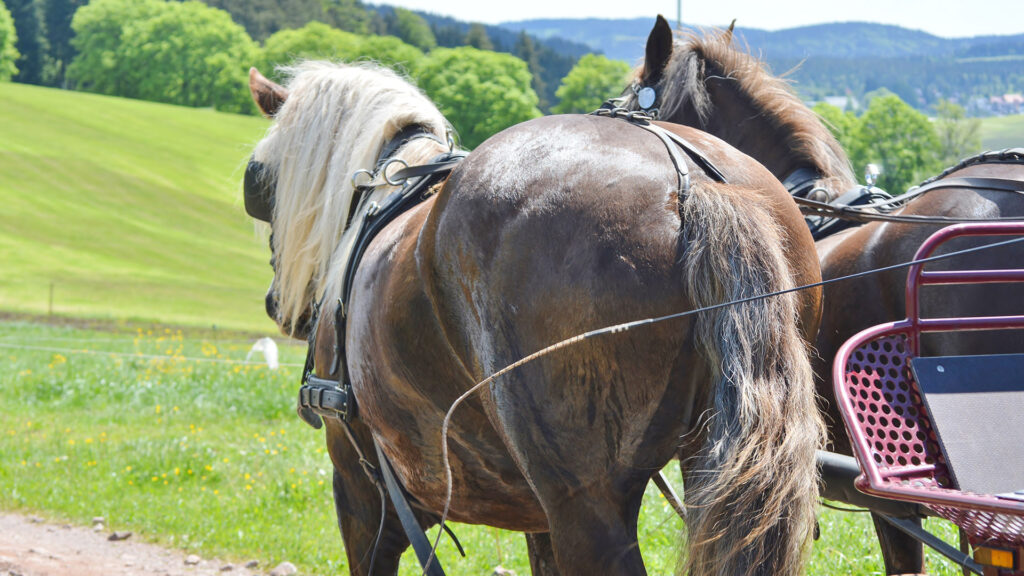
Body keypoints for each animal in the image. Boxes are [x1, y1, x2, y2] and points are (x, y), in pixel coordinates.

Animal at [245, 60, 823, 569]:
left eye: (258, 182)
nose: (275, 303)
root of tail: (691, 179)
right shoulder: (536, 516)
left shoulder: (361, 488)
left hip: (582, 500)